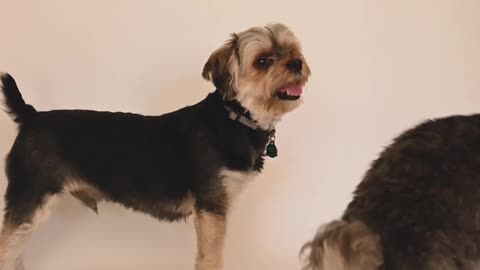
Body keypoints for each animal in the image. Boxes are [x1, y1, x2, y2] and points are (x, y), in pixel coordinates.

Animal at [0, 23, 312, 270]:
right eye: (263, 61)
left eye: (293, 51)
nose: (297, 63)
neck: (235, 117)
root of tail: (31, 116)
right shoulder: (211, 209)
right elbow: (212, 258)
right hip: (31, 195)